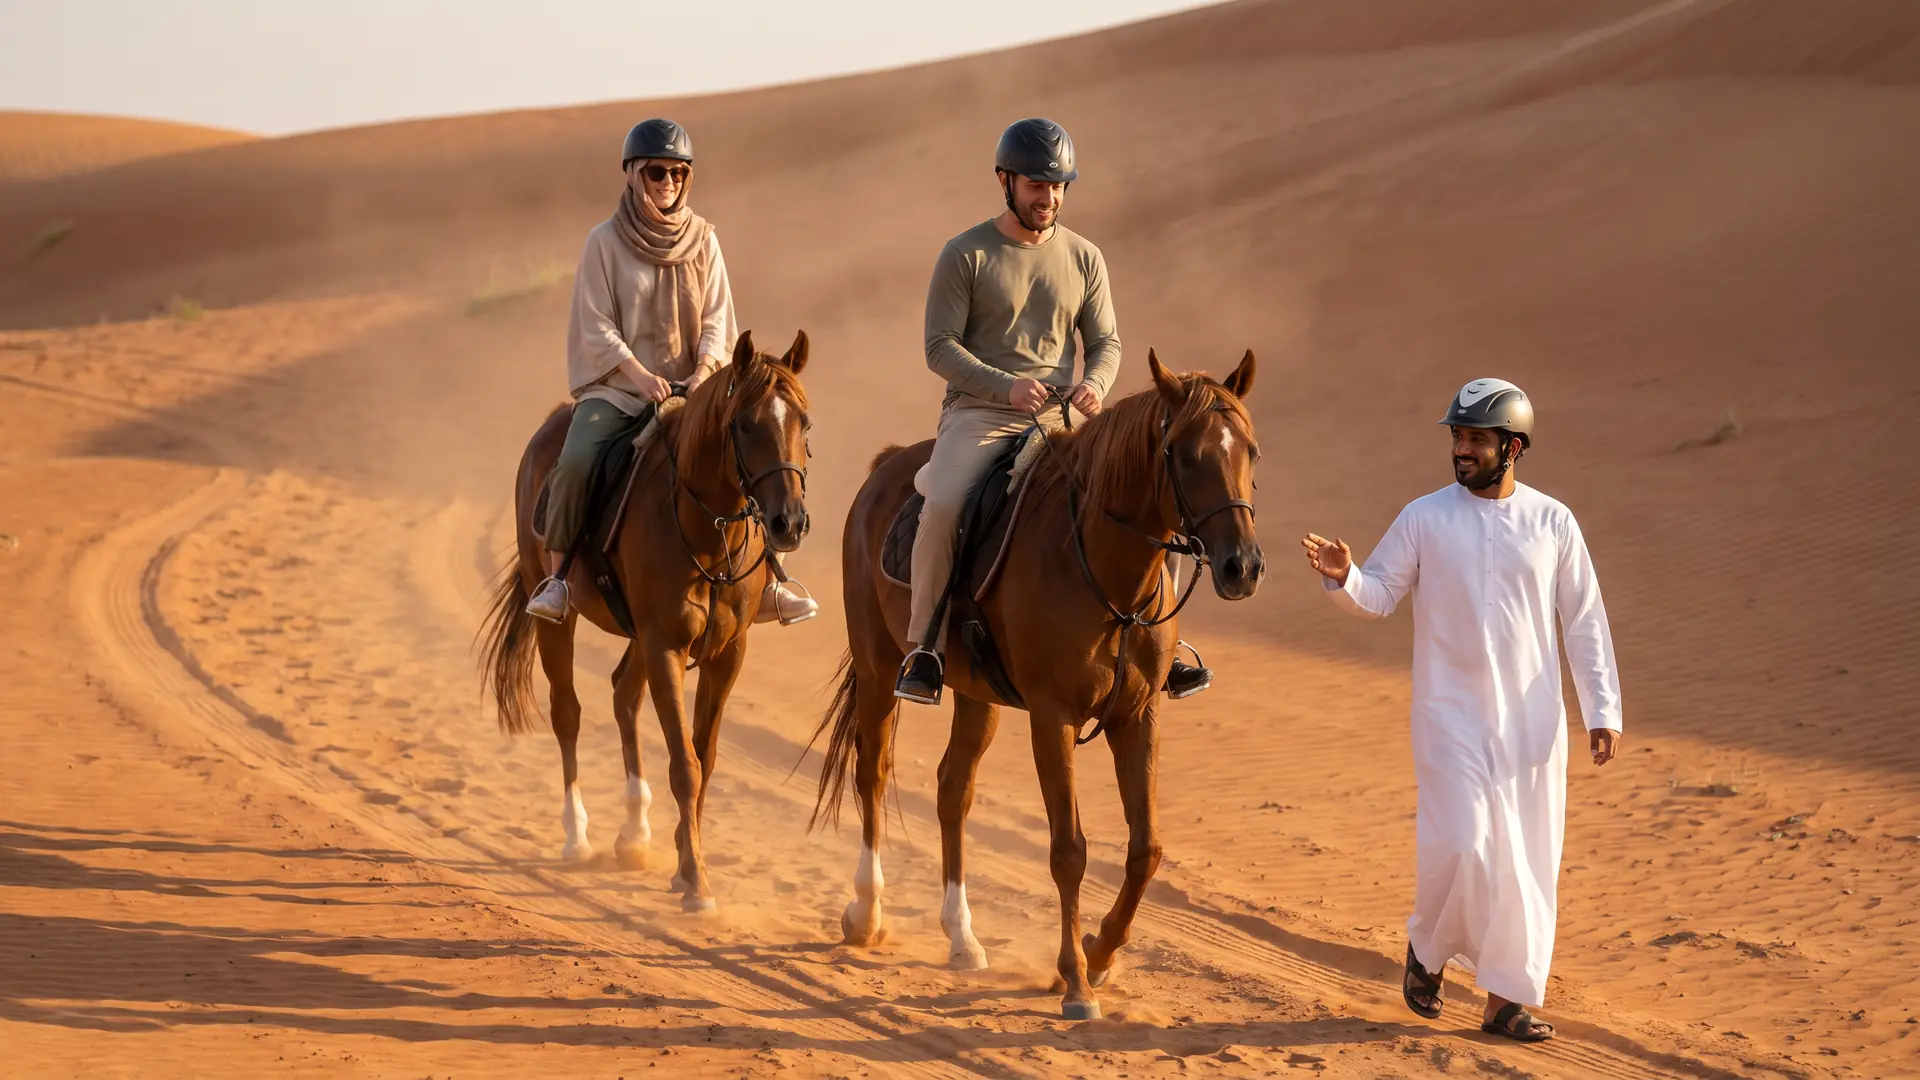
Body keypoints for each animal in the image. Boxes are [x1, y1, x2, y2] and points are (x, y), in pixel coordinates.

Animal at [480, 330, 812, 913]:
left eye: (804, 422)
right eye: (746, 424)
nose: (788, 522)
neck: (706, 532)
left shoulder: (726, 654)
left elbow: (705, 757)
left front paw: (684, 859)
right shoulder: (664, 647)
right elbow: (685, 765)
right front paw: (696, 880)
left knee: (622, 694)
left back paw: (634, 832)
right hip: (558, 619)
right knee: (568, 712)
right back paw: (577, 836)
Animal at [810, 349, 1262, 1019]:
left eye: (1250, 452)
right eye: (1185, 455)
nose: (1243, 567)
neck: (1104, 571)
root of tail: (885, 465)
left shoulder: (1136, 718)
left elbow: (1145, 849)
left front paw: (1101, 954)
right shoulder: (1054, 718)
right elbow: (1069, 850)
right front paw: (1074, 981)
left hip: (976, 696)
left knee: (953, 791)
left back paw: (962, 938)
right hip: (876, 666)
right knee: (873, 772)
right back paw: (866, 912)